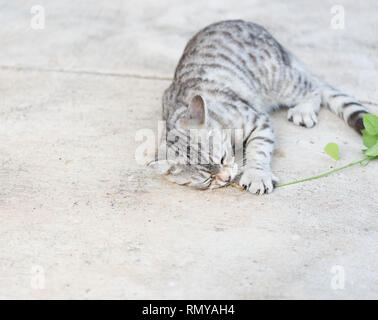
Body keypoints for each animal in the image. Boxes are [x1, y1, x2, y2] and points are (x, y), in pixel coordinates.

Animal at [148, 20, 370, 195]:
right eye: (206, 179)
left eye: (222, 158)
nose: (227, 178)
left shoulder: (258, 121)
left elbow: (258, 150)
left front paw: (256, 175)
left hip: (279, 81)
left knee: (313, 87)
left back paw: (303, 109)